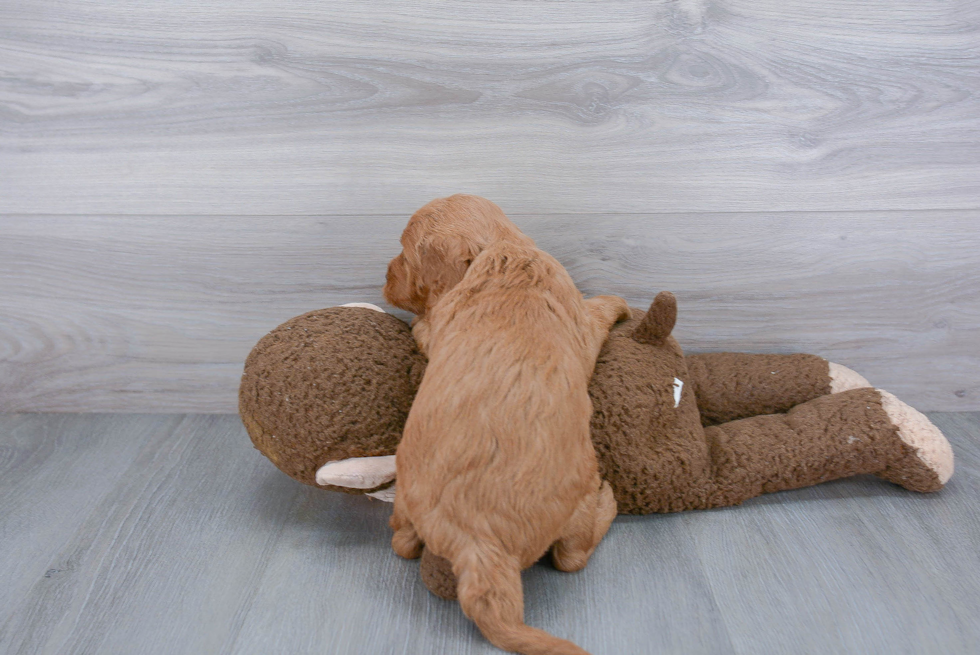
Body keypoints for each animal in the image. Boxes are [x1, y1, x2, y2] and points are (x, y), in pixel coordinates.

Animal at [382, 195, 628, 655]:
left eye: (404, 256)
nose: (383, 279)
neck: (503, 251)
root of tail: (477, 543)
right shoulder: (584, 328)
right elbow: (599, 309)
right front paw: (621, 302)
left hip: (405, 499)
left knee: (401, 542)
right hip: (578, 498)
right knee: (571, 557)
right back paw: (609, 501)